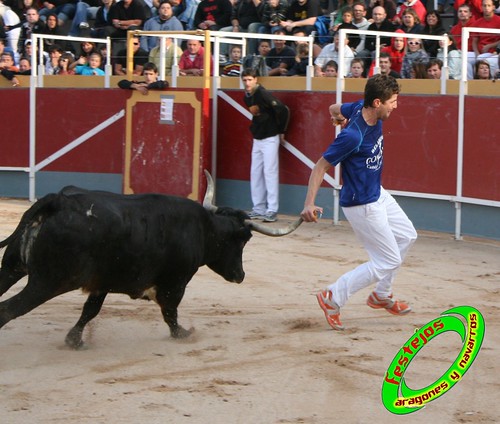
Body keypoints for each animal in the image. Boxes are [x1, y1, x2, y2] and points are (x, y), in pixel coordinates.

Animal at [0, 171, 302, 348]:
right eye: (243, 240)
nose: (240, 275)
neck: (204, 228)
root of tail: (55, 202)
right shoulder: (176, 281)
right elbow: (170, 311)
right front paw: (184, 334)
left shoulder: (102, 282)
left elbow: (90, 310)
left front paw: (74, 340)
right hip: (49, 282)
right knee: (8, 309)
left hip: (12, 267)